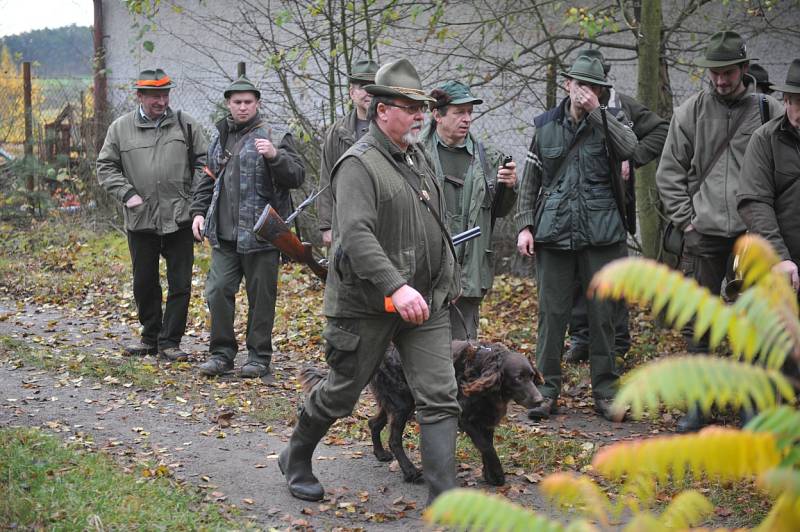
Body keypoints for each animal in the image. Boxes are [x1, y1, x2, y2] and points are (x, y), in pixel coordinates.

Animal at [300, 340, 544, 486]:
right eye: (517, 378)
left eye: (532, 376)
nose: (539, 400)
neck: (481, 368)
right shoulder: (466, 418)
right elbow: (487, 447)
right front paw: (498, 475)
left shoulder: (485, 418)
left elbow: (487, 446)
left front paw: (490, 475)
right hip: (402, 404)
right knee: (394, 439)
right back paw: (410, 471)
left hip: (393, 401)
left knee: (373, 423)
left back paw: (380, 453)